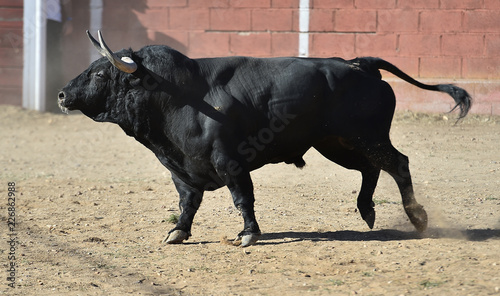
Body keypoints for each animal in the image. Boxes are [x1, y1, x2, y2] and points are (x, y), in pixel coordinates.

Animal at [59, 30, 472, 247]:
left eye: (100, 74)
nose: (62, 95)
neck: (176, 95)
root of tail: (359, 64)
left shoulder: (229, 162)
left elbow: (242, 198)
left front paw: (248, 234)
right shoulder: (182, 168)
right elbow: (188, 202)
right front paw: (177, 232)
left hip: (365, 136)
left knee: (397, 163)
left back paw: (417, 218)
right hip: (336, 143)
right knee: (370, 169)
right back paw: (367, 210)